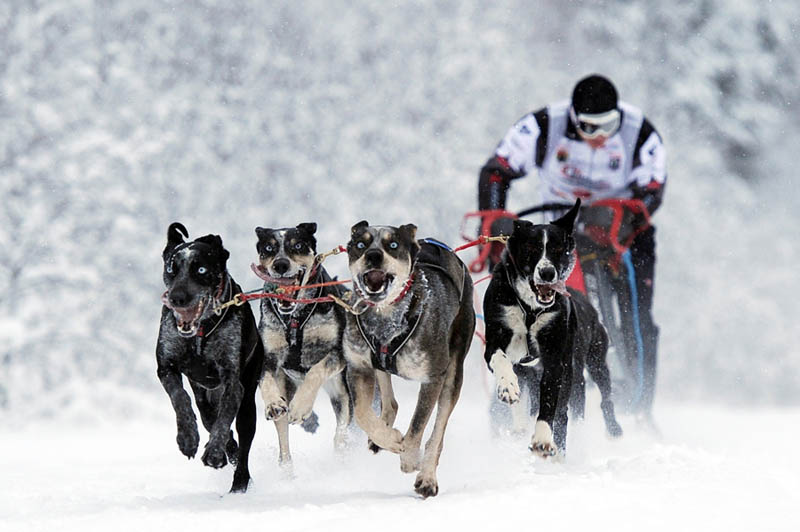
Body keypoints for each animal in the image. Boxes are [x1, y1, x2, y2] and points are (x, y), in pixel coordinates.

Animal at [157, 222, 288, 492]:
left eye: (201, 269)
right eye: (171, 269)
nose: (177, 298)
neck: (200, 334)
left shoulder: (232, 381)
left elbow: (225, 417)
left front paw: (215, 452)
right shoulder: (166, 366)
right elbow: (180, 398)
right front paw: (187, 438)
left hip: (248, 401)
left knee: (241, 438)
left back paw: (239, 482)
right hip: (205, 398)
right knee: (211, 420)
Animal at [255, 222, 352, 464]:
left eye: (297, 245)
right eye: (269, 248)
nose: (280, 264)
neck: (295, 318)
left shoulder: (337, 353)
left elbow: (315, 371)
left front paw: (300, 407)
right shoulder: (269, 355)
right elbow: (266, 381)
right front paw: (273, 403)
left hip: (342, 391)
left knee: (342, 432)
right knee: (284, 445)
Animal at [342, 221, 476, 498]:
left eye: (393, 245)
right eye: (361, 244)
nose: (373, 255)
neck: (385, 317)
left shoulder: (432, 377)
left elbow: (418, 425)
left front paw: (409, 457)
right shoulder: (358, 367)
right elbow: (362, 413)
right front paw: (388, 438)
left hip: (453, 372)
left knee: (437, 433)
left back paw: (427, 477)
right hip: (378, 366)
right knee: (390, 402)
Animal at [482, 202, 620, 460]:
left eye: (557, 248)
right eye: (531, 248)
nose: (547, 272)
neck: (530, 310)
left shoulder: (556, 359)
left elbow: (550, 406)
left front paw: (544, 438)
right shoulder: (496, 340)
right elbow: (501, 361)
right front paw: (507, 386)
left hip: (595, 362)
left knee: (600, 398)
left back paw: (611, 430)